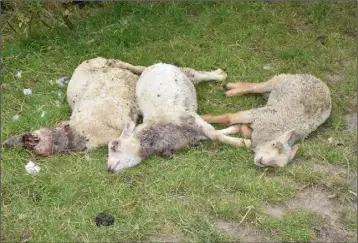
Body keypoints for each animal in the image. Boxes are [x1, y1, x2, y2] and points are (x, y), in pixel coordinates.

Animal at [107, 62, 252, 173]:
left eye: (114, 146)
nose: (109, 169)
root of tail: (154, 65)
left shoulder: (191, 118)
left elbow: (215, 135)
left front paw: (245, 143)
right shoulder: (194, 134)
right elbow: (216, 133)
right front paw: (236, 130)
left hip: (184, 72)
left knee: (198, 74)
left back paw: (220, 74)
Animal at [200, 73, 332, 167]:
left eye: (276, 164)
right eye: (274, 144)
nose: (261, 161)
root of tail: (321, 83)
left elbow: (242, 130)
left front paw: (242, 128)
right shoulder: (258, 114)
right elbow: (229, 118)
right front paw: (204, 117)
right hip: (280, 80)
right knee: (256, 87)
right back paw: (231, 89)